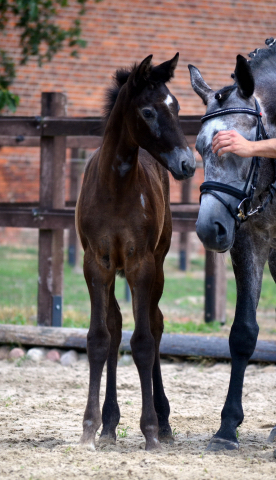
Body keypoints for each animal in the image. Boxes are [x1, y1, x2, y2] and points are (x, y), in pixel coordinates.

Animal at [76, 53, 195, 450]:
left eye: (176, 106)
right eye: (147, 111)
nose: (188, 163)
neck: (115, 187)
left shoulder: (141, 264)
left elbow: (143, 342)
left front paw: (151, 430)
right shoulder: (96, 264)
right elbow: (99, 338)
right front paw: (89, 427)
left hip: (157, 265)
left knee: (155, 325)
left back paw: (164, 420)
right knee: (115, 326)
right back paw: (110, 424)